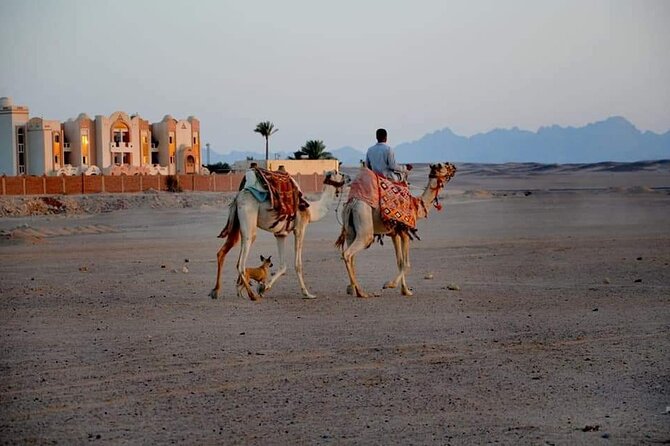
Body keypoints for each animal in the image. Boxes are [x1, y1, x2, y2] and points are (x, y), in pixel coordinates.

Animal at [209, 170, 348, 301]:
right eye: (338, 173)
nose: (348, 177)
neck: (311, 210)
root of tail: (237, 198)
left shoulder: (280, 234)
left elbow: (283, 266)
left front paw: (264, 288)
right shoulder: (300, 228)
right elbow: (298, 264)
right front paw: (307, 293)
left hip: (237, 224)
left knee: (222, 252)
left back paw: (215, 291)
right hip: (248, 220)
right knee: (241, 262)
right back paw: (251, 295)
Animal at [336, 163, 456, 298]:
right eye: (444, 165)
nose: (454, 167)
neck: (416, 207)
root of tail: (352, 203)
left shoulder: (395, 234)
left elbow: (399, 262)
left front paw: (405, 291)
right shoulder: (405, 231)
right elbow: (406, 264)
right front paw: (389, 284)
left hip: (350, 230)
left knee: (352, 257)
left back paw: (353, 289)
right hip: (364, 226)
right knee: (348, 253)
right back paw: (361, 292)